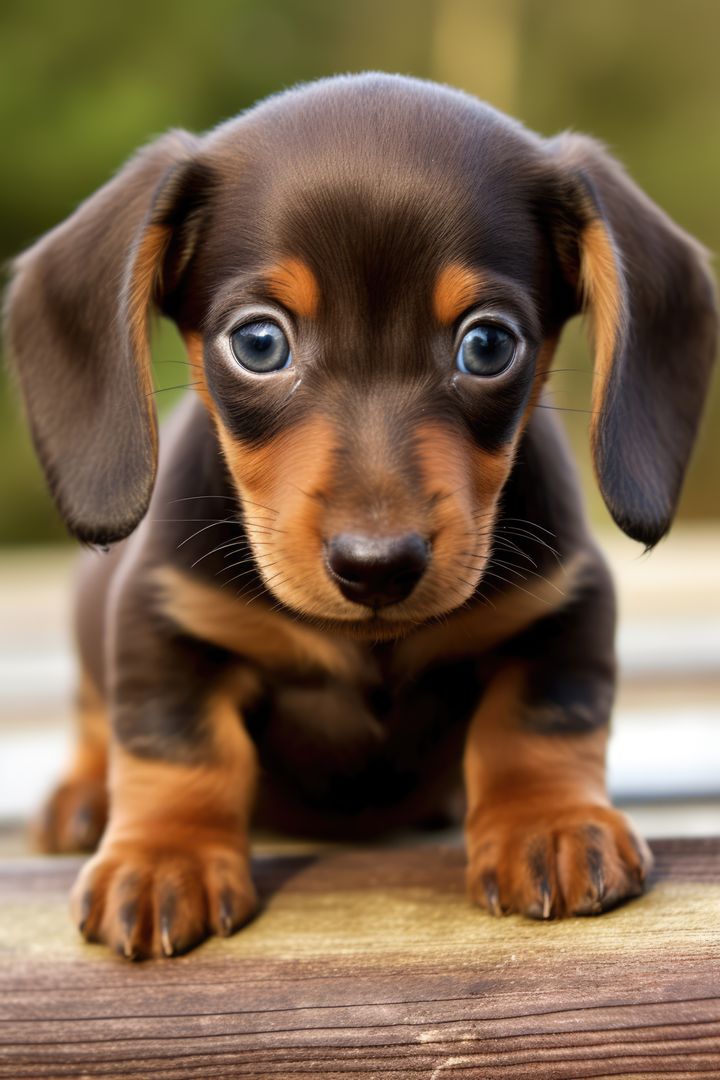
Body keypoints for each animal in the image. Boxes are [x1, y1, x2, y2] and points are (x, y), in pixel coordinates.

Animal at [4, 71, 716, 959]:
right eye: (259, 343)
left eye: (488, 345)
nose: (377, 566)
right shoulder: (162, 615)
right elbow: (174, 743)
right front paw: (165, 857)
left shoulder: (565, 606)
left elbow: (540, 719)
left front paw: (550, 823)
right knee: (94, 717)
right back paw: (81, 797)